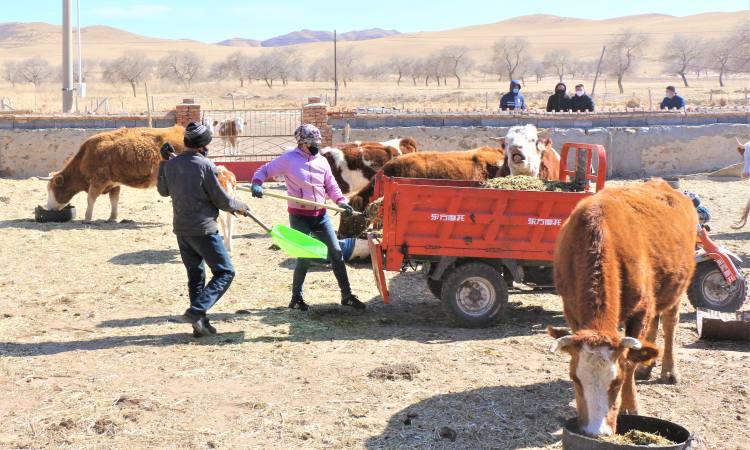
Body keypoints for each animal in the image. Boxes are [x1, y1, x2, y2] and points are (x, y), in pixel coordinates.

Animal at [45, 125, 187, 222]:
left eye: (52, 189)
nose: (48, 208)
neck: (86, 155)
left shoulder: (98, 181)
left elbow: (90, 198)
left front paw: (87, 218)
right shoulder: (113, 184)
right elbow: (114, 200)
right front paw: (112, 217)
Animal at [548, 178, 700, 436]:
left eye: (616, 381)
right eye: (574, 379)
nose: (595, 431)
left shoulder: (640, 311)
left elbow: (629, 361)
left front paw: (630, 406)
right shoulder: (571, 309)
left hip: (677, 288)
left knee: (669, 324)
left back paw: (668, 370)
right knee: (654, 326)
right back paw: (647, 366)